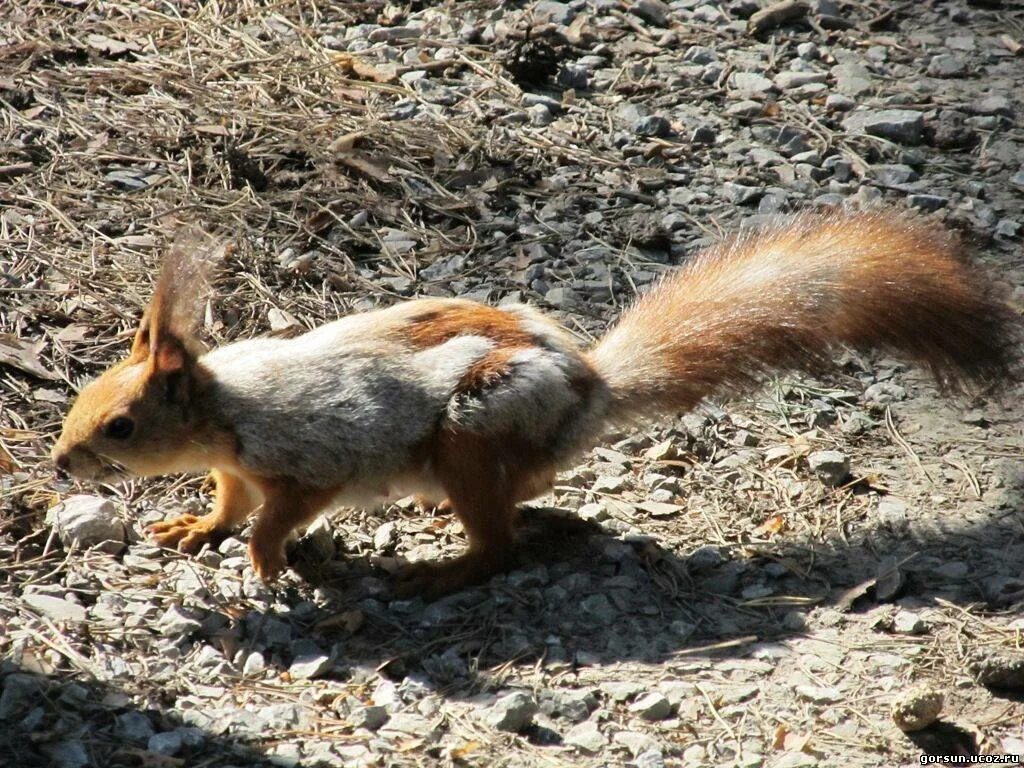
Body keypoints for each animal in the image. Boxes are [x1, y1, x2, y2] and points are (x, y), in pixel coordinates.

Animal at [54, 210, 1015, 602]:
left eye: (121, 426)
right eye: (85, 397)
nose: (61, 463)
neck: (226, 411)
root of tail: (589, 393)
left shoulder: (311, 458)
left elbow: (280, 514)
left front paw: (262, 559)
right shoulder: (234, 467)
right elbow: (227, 502)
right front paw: (195, 528)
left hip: (471, 436)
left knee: (499, 545)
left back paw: (442, 571)